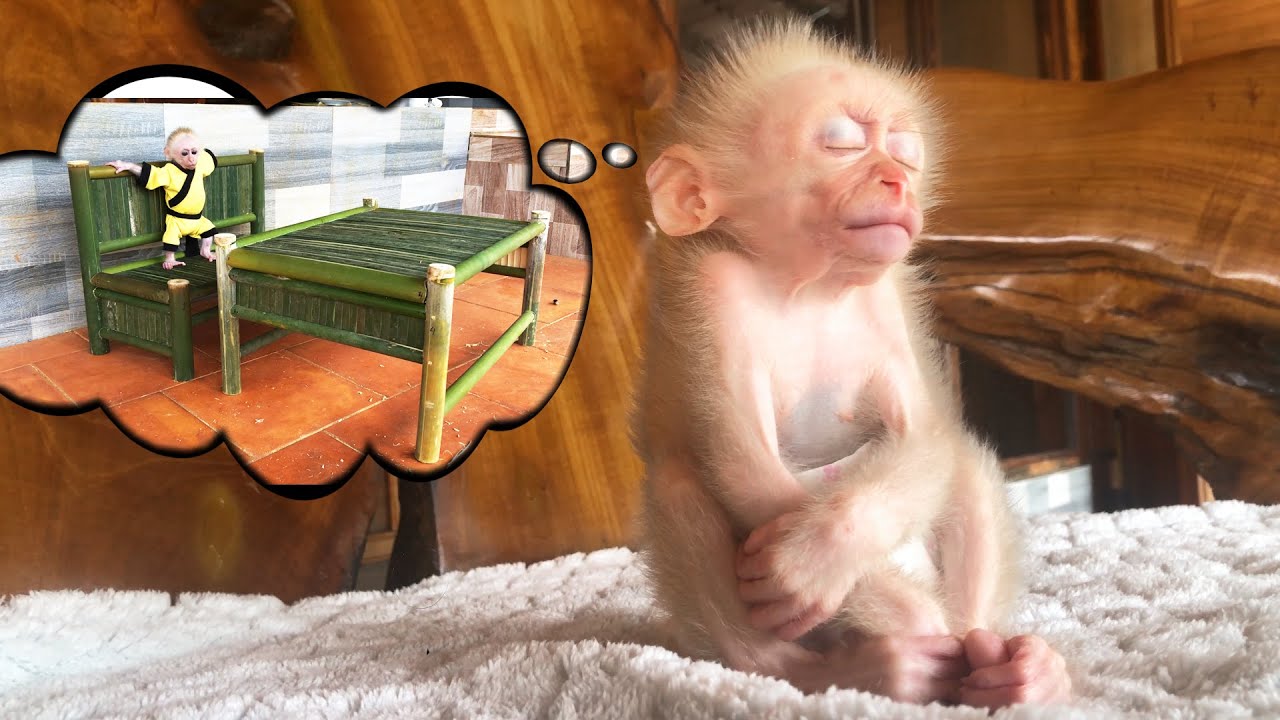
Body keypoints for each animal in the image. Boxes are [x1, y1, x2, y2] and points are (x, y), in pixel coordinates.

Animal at [632, 17, 1072, 708]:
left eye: (905, 151)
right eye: (841, 142)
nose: (896, 181)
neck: (805, 285)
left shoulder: (885, 296)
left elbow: (925, 438)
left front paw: (819, 558)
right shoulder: (710, 287)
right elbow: (743, 465)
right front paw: (907, 618)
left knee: (959, 461)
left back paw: (1009, 665)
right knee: (681, 485)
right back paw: (856, 670)